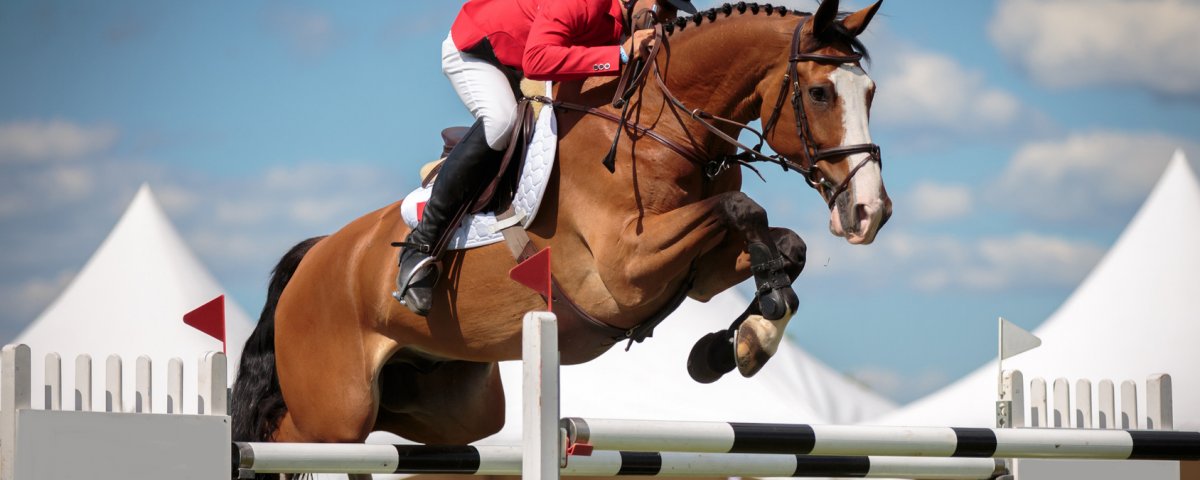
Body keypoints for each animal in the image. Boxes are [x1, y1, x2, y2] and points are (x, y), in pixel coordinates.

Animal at [231, 0, 892, 451]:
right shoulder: (625, 271)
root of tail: (316, 256)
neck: (660, 127)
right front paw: (745, 333)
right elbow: (744, 209)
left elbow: (785, 244)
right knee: (285, 436)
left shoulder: (696, 272)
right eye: (820, 93)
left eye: (871, 92)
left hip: (445, 406)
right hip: (334, 412)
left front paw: (740, 341)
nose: (870, 213)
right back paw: (414, 266)